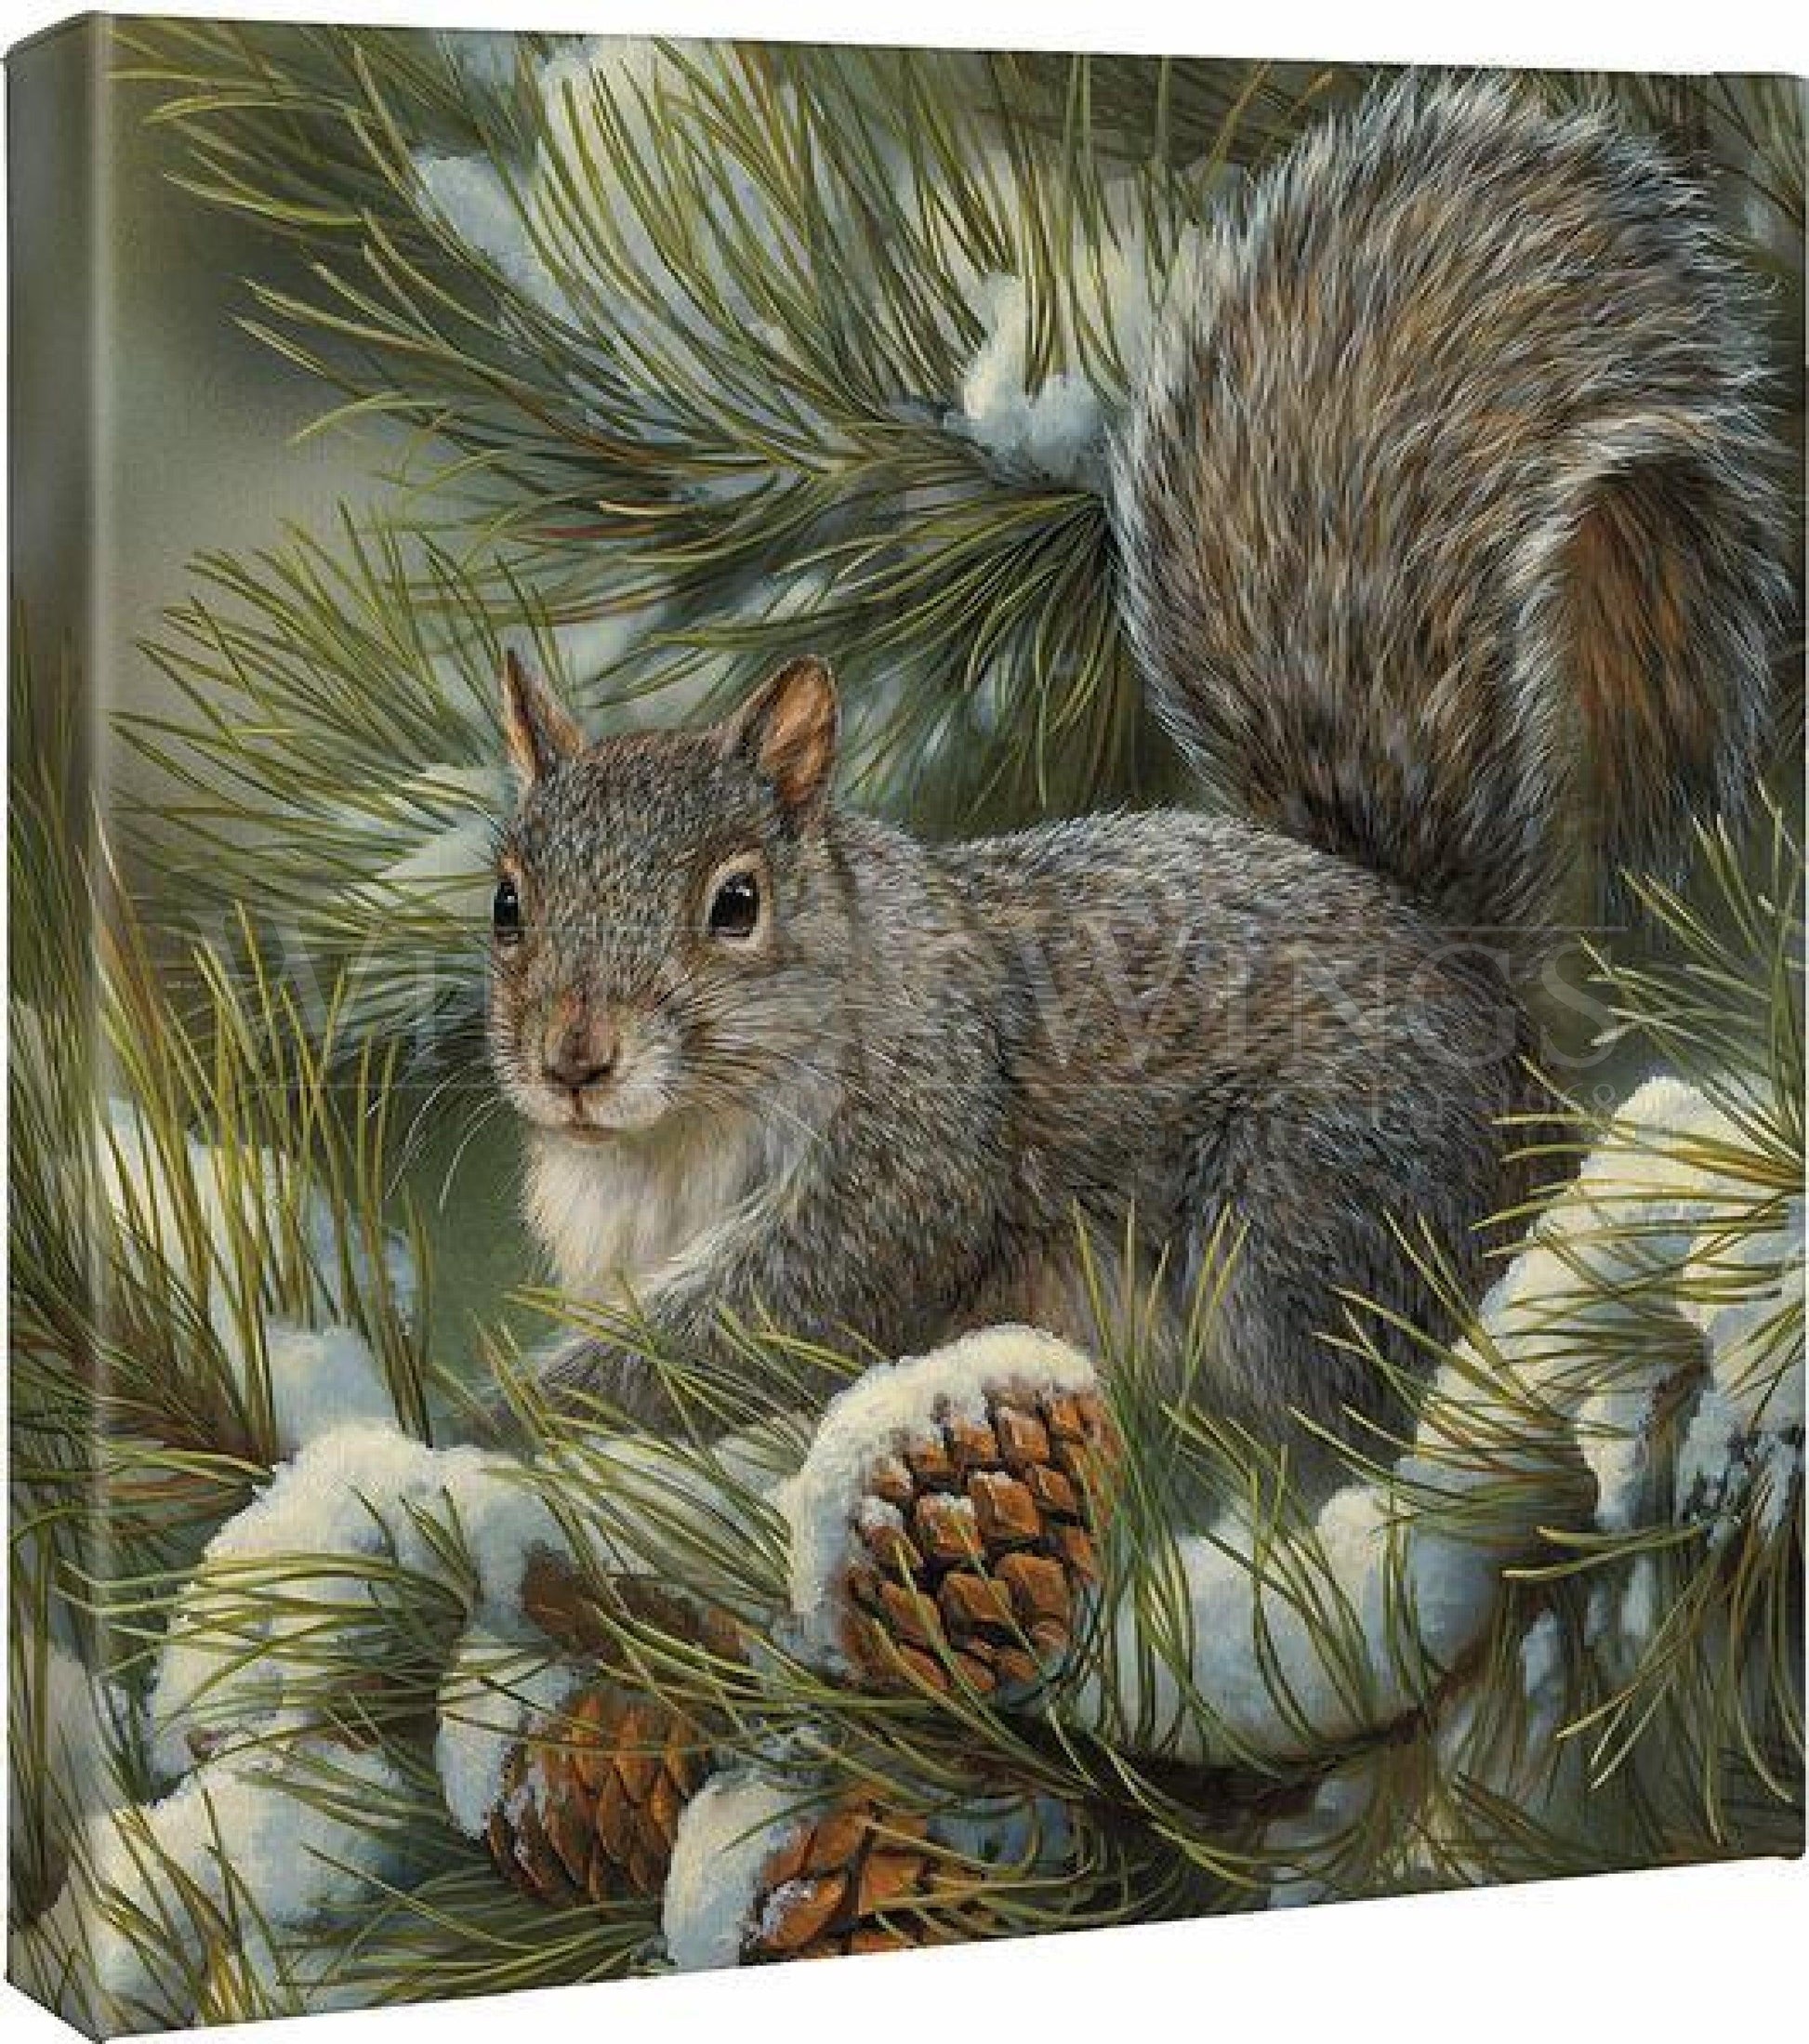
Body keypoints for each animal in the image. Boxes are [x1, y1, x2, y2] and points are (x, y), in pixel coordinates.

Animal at [487, 80, 1783, 1445]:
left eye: (736, 902)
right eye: (507, 903)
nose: (574, 1060)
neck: (666, 1142)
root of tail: (1476, 985)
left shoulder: (905, 1151)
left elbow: (767, 1320)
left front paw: (507, 1415)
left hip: (1309, 1212)